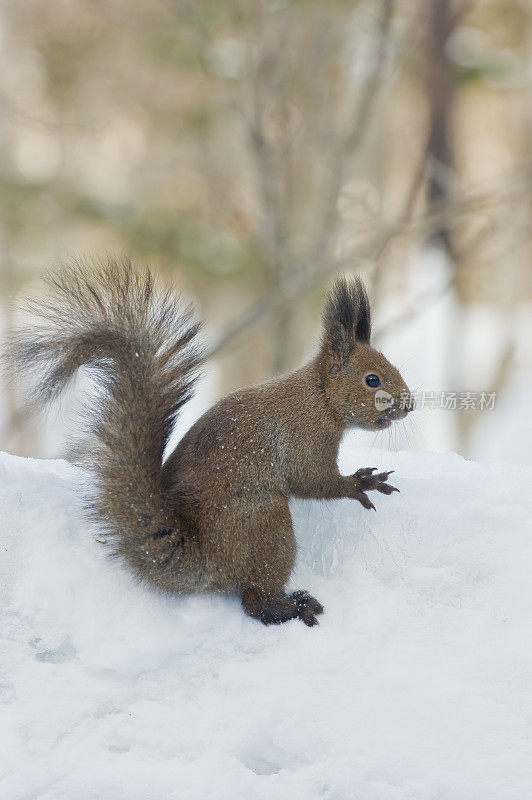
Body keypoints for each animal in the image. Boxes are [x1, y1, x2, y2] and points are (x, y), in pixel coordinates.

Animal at [10, 260, 414, 624]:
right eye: (372, 380)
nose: (409, 404)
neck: (319, 397)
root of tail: (207, 556)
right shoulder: (305, 436)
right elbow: (311, 480)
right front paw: (361, 483)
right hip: (266, 524)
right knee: (253, 600)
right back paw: (291, 607)